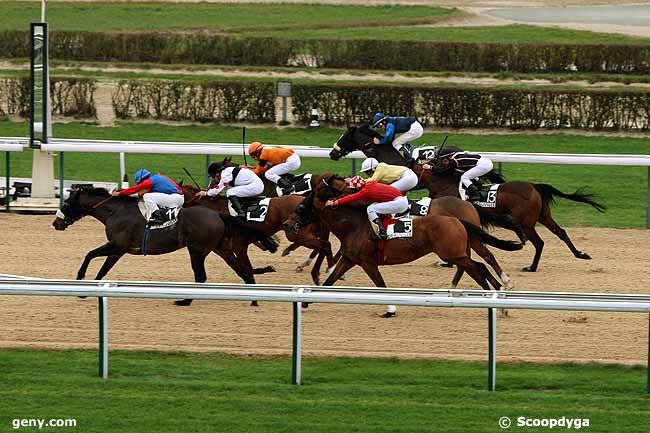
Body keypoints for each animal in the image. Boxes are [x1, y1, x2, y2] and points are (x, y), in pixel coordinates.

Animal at [52, 186, 253, 290]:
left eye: (67, 204)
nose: (56, 223)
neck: (115, 213)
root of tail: (217, 214)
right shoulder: (118, 251)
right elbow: (102, 271)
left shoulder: (117, 245)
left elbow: (90, 254)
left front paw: (80, 276)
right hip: (221, 248)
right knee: (242, 270)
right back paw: (252, 299)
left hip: (198, 250)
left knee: (202, 275)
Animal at [284, 174, 520, 296]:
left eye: (302, 207)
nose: (287, 224)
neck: (354, 224)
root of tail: (465, 208)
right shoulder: (351, 258)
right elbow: (331, 274)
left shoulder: (366, 260)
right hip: (460, 249)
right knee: (476, 265)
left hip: (457, 250)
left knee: (482, 262)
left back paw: (501, 285)